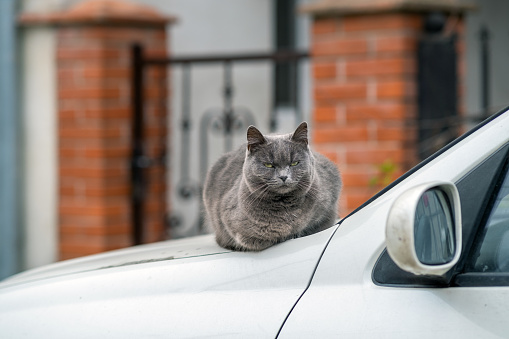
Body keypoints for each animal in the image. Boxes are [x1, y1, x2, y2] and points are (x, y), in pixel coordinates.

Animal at [202, 122, 342, 252]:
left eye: (294, 163)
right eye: (269, 165)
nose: (283, 176)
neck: (284, 207)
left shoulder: (328, 202)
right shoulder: (231, 220)